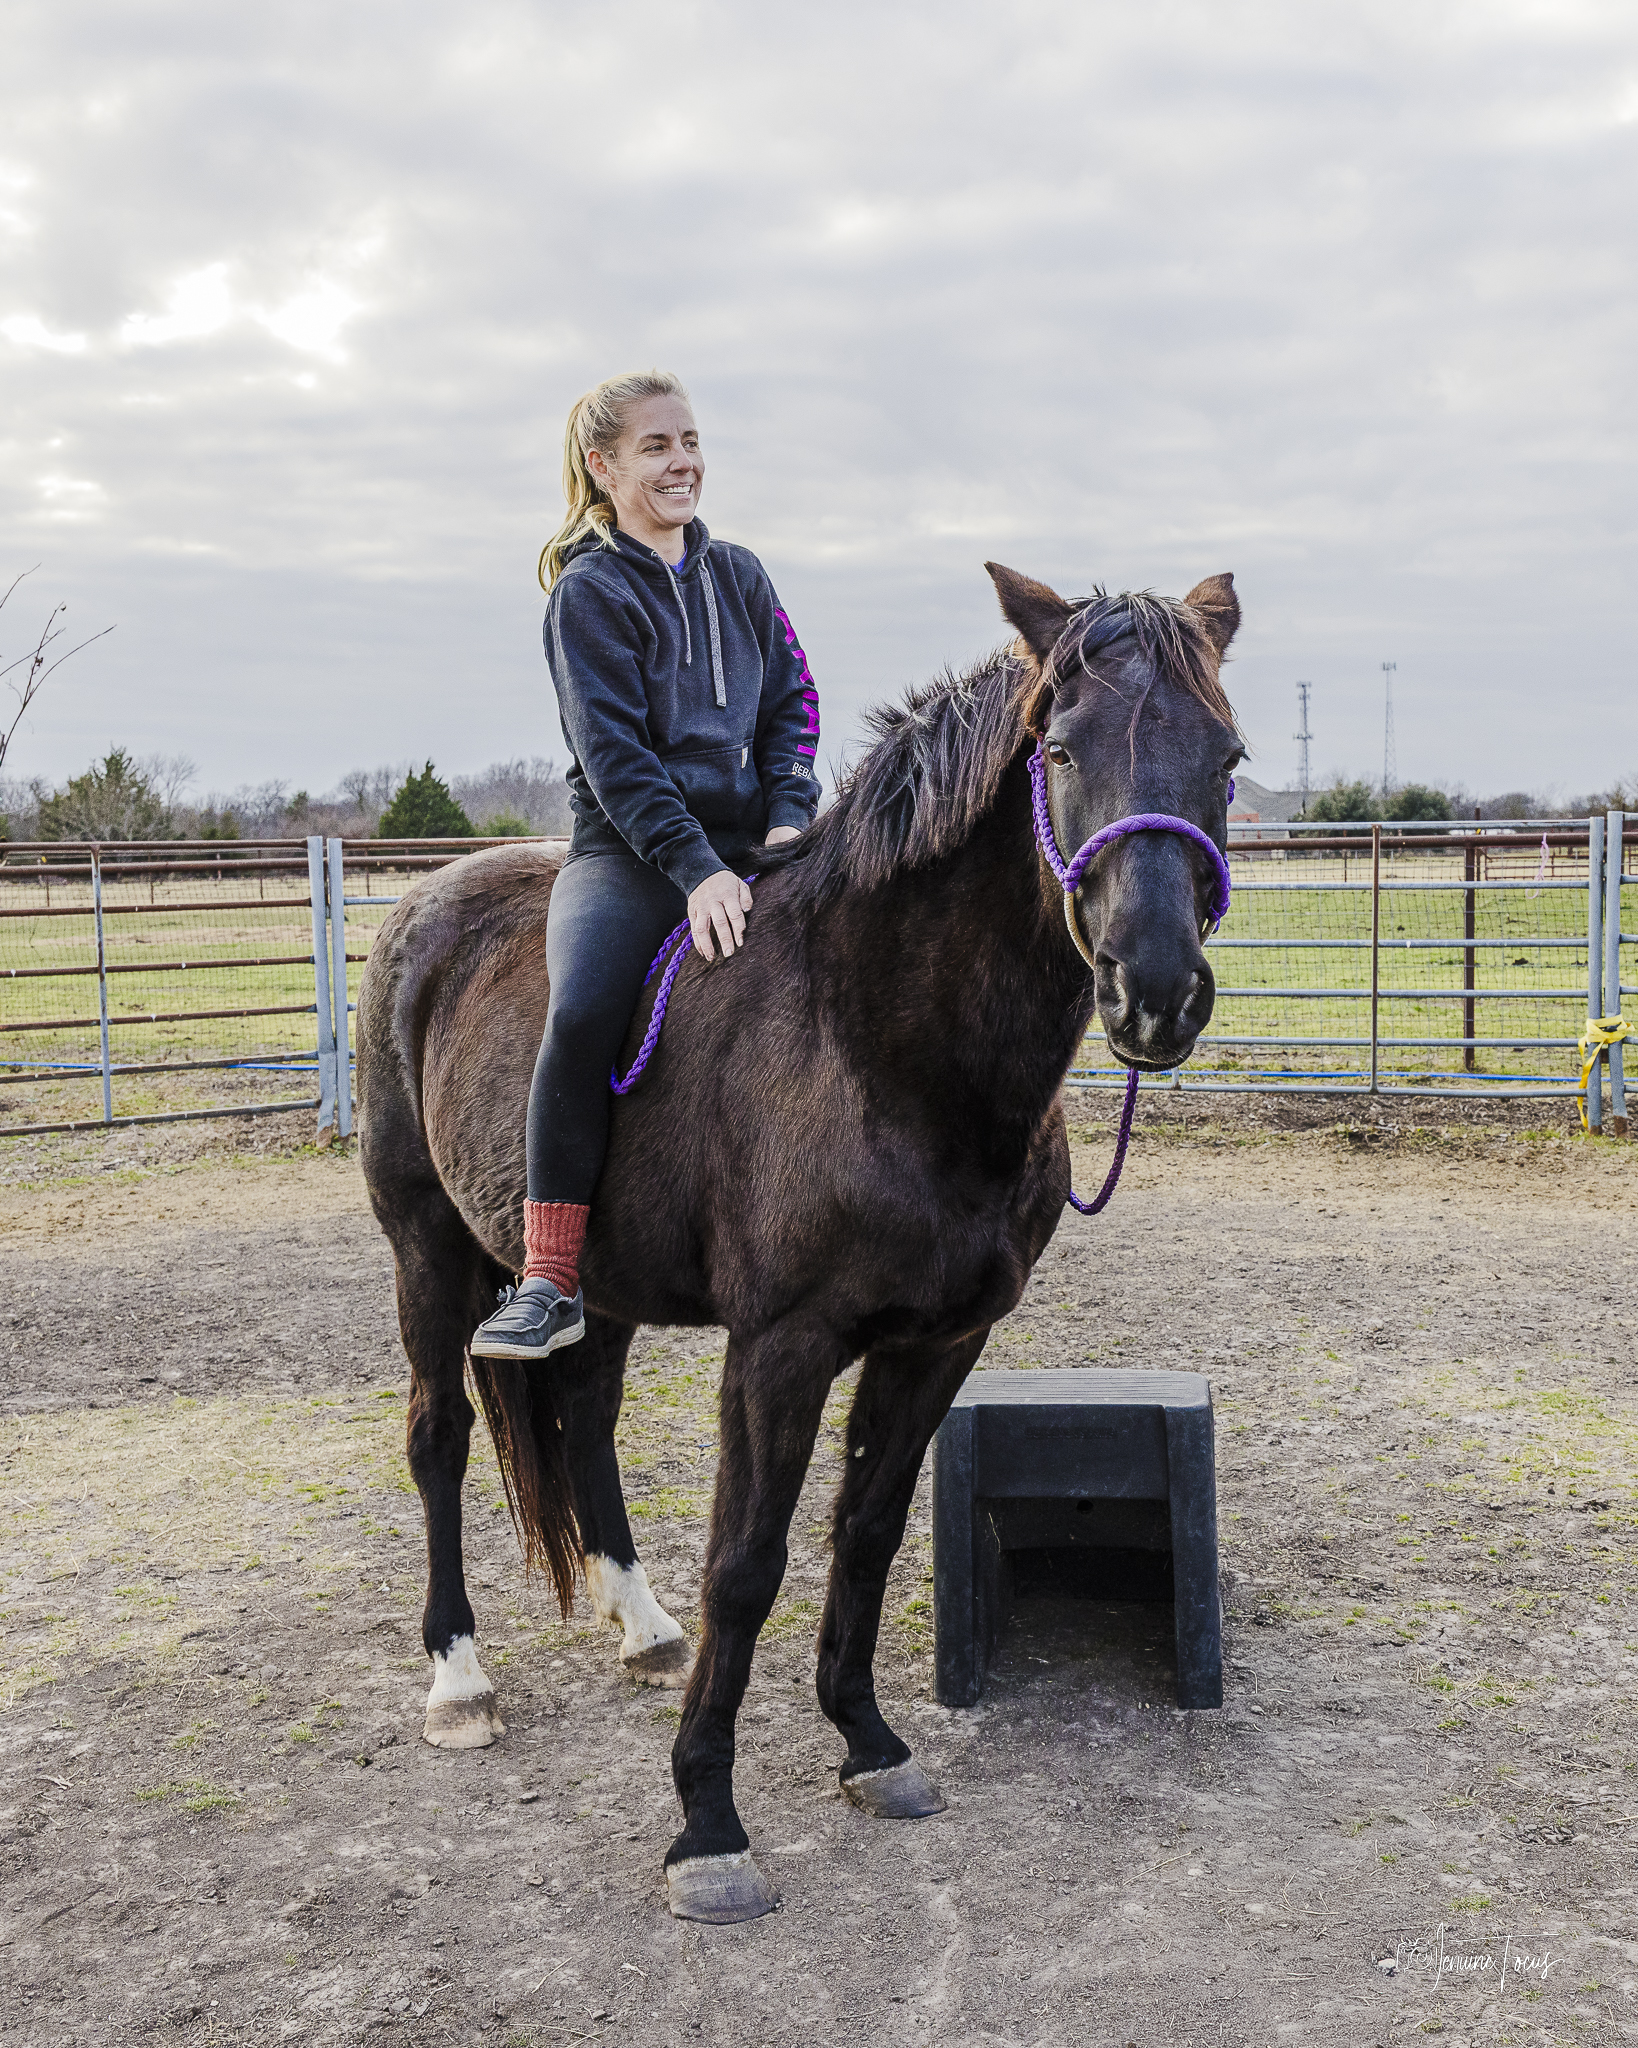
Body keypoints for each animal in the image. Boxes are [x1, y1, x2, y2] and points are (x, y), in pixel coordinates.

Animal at [356, 562, 1242, 1922]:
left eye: (1230, 759)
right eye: (1063, 748)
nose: (1156, 991)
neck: (877, 1037)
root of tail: (428, 901)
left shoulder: (939, 1341)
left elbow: (865, 1530)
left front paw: (869, 1741)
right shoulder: (781, 1346)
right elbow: (748, 1561)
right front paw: (707, 1826)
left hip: (596, 1284)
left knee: (586, 1416)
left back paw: (640, 1623)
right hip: (427, 1250)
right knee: (440, 1436)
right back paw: (458, 1676)